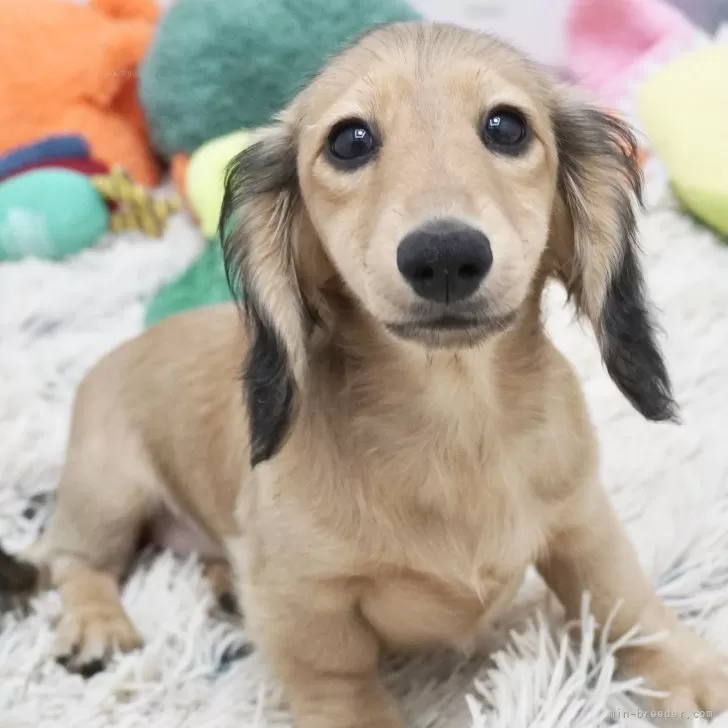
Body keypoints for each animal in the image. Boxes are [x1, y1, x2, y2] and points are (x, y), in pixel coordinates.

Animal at [1, 22, 728, 728]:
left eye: (507, 127)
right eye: (349, 141)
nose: (445, 256)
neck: (457, 421)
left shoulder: (582, 518)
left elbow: (624, 600)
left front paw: (689, 675)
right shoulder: (305, 601)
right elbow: (339, 682)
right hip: (108, 489)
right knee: (74, 561)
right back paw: (96, 623)